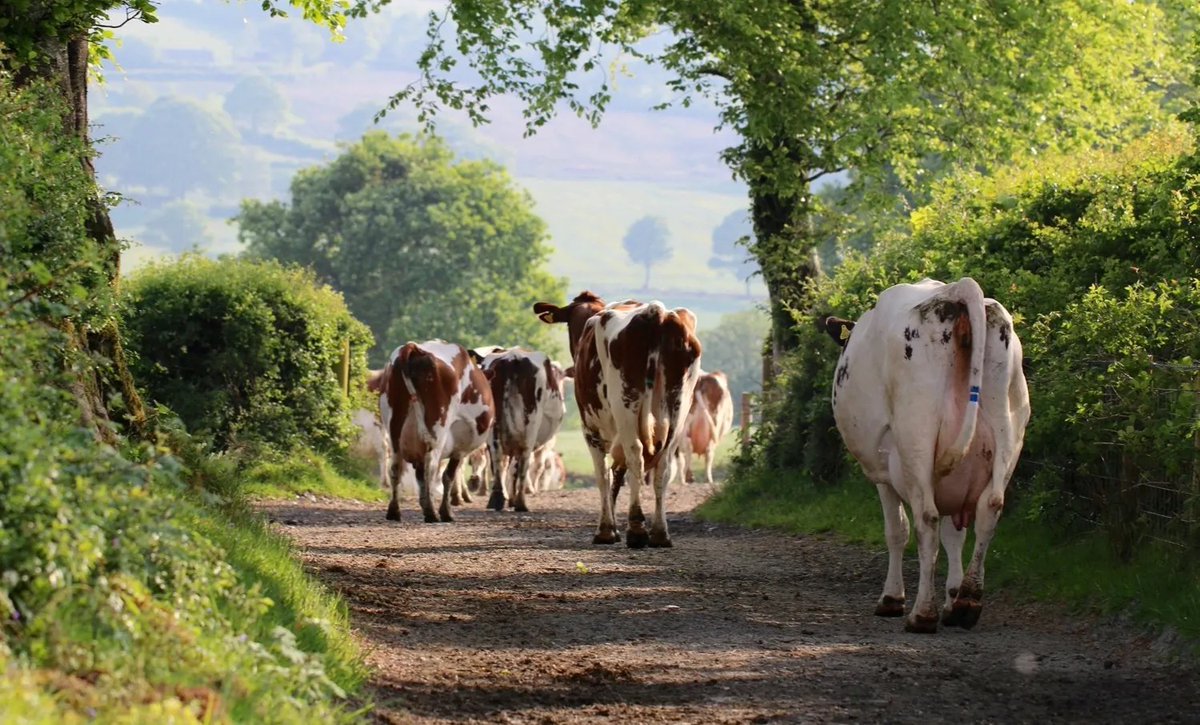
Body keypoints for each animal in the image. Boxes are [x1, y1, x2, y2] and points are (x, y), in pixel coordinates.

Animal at [373, 341, 496, 523]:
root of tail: (414, 348)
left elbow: (420, 477)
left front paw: (424, 503)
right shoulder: (459, 449)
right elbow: (448, 476)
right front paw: (445, 512)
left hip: (394, 426)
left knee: (395, 467)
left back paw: (394, 511)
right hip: (437, 430)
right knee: (431, 467)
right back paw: (432, 512)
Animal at [470, 347, 567, 512]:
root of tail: (512, 357)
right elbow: (515, 468)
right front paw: (512, 499)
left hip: (494, 427)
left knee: (497, 458)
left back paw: (496, 499)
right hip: (530, 424)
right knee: (523, 461)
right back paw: (521, 502)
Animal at [534, 291, 702, 548]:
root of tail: (656, 313)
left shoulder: (590, 428)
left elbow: (603, 473)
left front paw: (606, 530)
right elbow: (618, 472)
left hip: (626, 404)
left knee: (636, 454)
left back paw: (637, 529)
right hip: (678, 406)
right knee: (662, 465)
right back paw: (660, 533)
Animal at [821, 277, 1030, 633]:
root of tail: (958, 289)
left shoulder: (883, 471)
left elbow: (897, 531)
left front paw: (892, 599)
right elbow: (954, 536)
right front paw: (952, 598)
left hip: (915, 435)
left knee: (926, 520)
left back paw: (923, 613)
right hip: (1009, 430)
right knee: (989, 509)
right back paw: (967, 602)